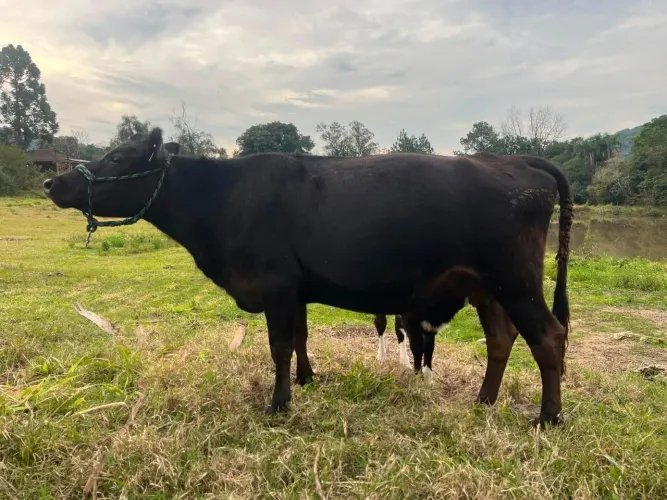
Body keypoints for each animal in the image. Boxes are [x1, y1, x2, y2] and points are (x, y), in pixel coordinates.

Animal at [42, 127, 573, 427]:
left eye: (117, 157)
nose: (52, 181)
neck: (224, 198)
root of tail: (514, 160)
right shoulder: (294, 289)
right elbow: (300, 337)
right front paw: (306, 380)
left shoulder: (275, 283)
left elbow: (278, 345)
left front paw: (278, 405)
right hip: (486, 288)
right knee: (502, 338)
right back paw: (484, 401)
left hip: (515, 279)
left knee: (548, 336)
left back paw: (548, 418)